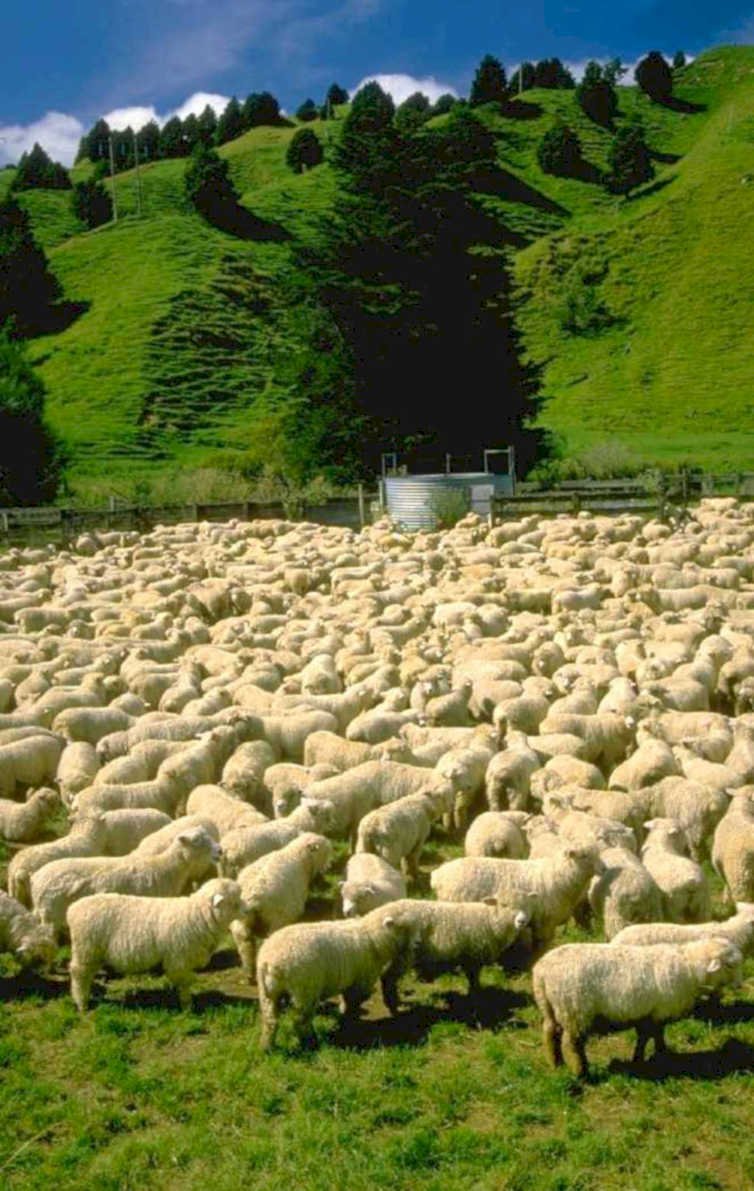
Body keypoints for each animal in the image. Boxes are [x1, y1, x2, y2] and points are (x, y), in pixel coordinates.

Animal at [68, 877, 243, 1011]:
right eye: (234, 902)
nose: (247, 910)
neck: (197, 914)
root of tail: (73, 909)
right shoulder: (178, 960)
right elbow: (184, 983)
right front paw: (187, 1006)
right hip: (85, 949)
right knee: (79, 975)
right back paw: (82, 1003)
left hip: (93, 952)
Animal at [230, 833, 332, 976]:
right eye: (324, 849)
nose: (329, 866)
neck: (298, 856)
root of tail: (253, 897)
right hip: (277, 918)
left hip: (239, 922)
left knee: (244, 943)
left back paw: (249, 972)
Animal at [256, 905, 417, 1049]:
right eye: (404, 928)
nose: (417, 944)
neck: (372, 938)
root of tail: (268, 961)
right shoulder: (360, 982)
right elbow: (354, 1003)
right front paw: (351, 1021)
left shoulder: (349, 981)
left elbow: (347, 1000)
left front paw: (344, 1016)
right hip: (305, 990)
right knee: (300, 1021)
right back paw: (310, 1042)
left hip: (269, 994)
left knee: (270, 1021)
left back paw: (267, 1047)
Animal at [532, 937, 743, 1077]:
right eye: (730, 965)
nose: (740, 985)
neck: (690, 968)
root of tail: (541, 971)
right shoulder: (659, 1012)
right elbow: (653, 1035)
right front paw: (657, 1055)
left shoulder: (649, 1014)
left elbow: (648, 1036)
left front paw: (647, 1057)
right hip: (574, 1011)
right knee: (571, 1043)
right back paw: (581, 1071)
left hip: (551, 1008)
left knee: (550, 1033)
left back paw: (556, 1063)